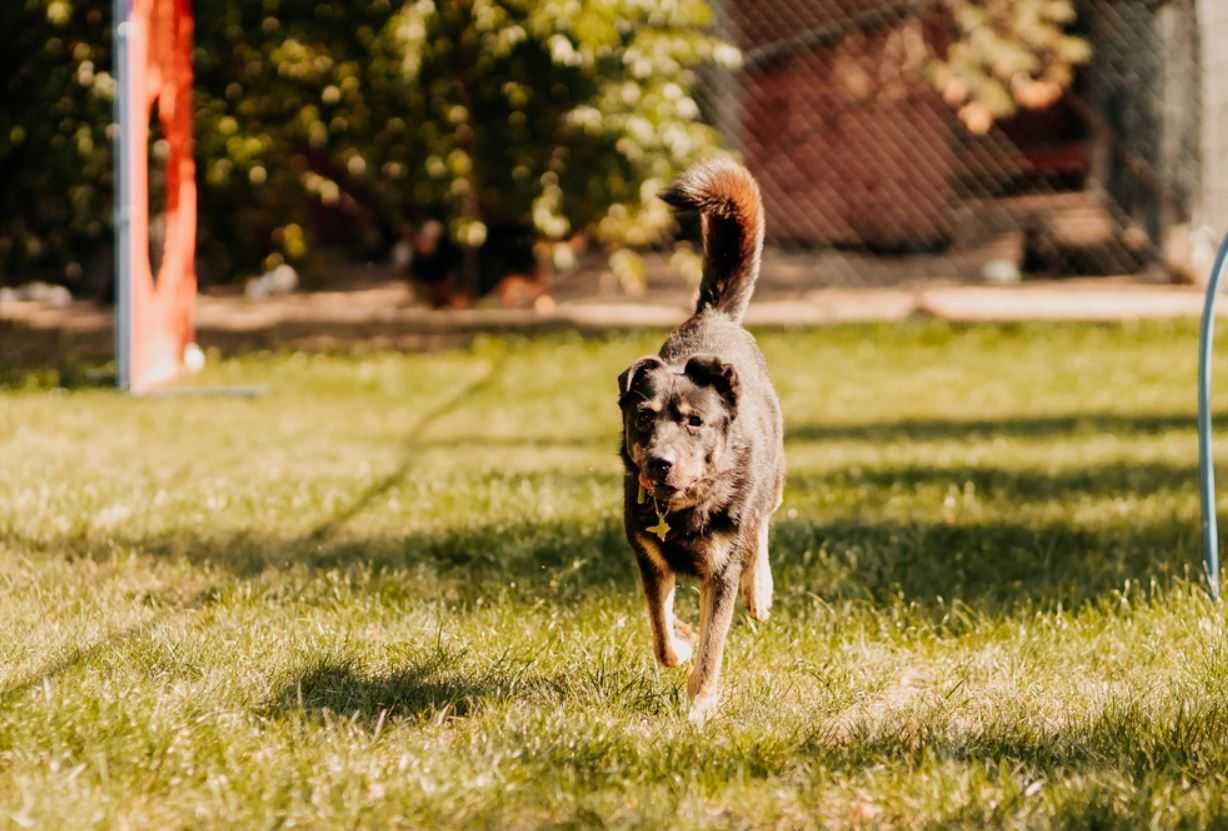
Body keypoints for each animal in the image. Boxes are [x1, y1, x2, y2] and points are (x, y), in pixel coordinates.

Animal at [614, 158, 785, 721]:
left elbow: (714, 643)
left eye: (694, 422)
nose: (661, 462)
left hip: (774, 476)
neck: (685, 508)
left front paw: (699, 704)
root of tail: (714, 317)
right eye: (644, 418)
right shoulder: (649, 558)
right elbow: (662, 631)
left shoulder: (721, 572)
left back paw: (761, 591)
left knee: (763, 526)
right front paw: (681, 643)